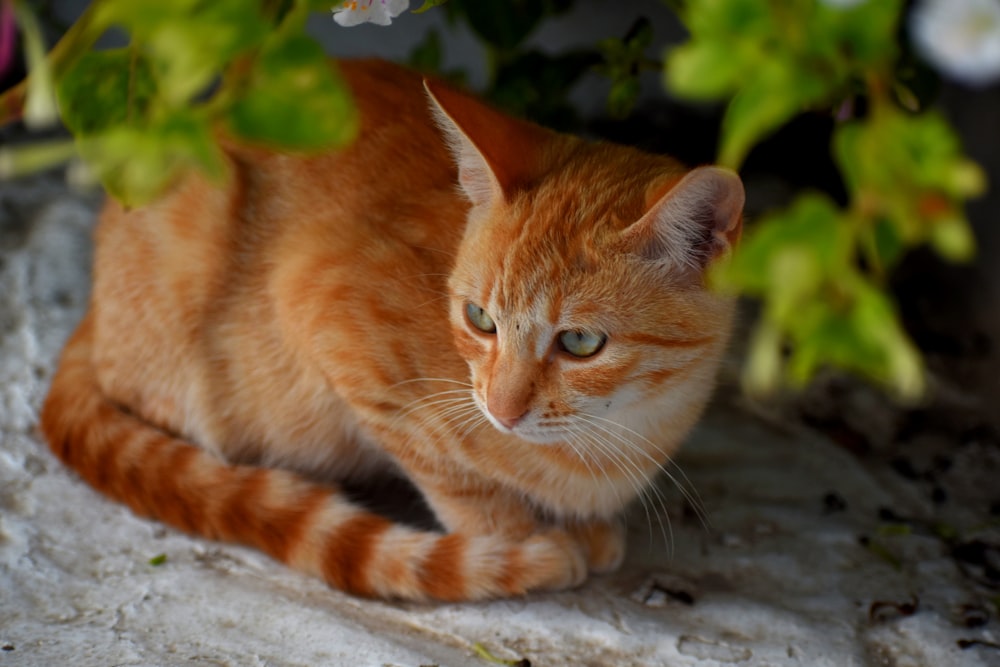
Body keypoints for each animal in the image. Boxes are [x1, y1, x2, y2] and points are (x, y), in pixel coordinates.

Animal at [39, 58, 744, 600]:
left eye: (580, 343)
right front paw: (521, 542)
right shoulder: (323, 310)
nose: (500, 411)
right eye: (479, 319)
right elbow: (456, 480)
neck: (616, 439)